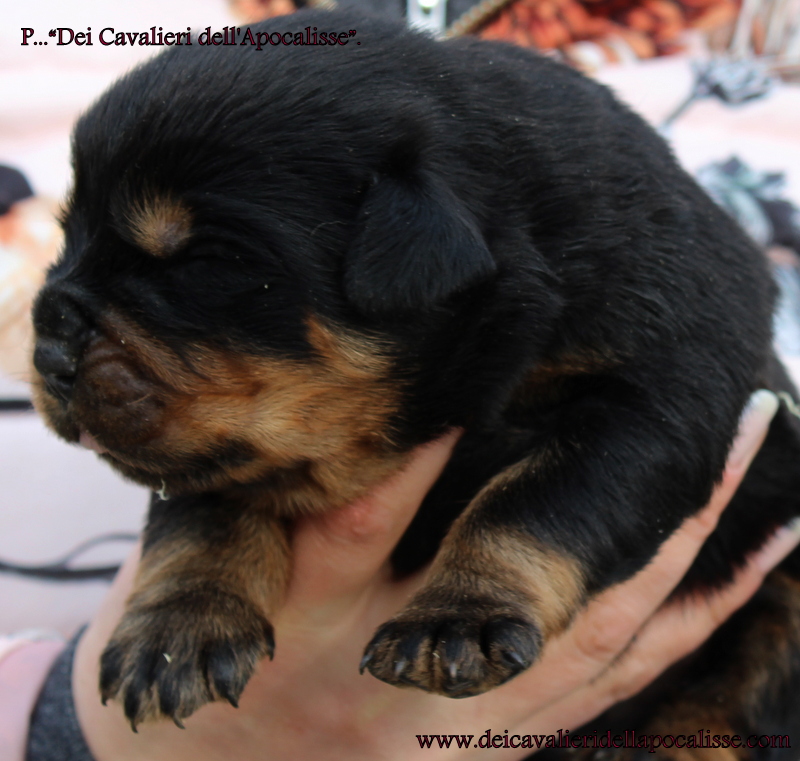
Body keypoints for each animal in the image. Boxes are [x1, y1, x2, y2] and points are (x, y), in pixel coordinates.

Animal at [31, 7, 800, 756]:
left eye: (202, 261)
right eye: (69, 238)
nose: (47, 333)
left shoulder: (660, 387)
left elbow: (538, 498)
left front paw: (459, 616)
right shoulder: (210, 454)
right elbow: (200, 516)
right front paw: (176, 627)